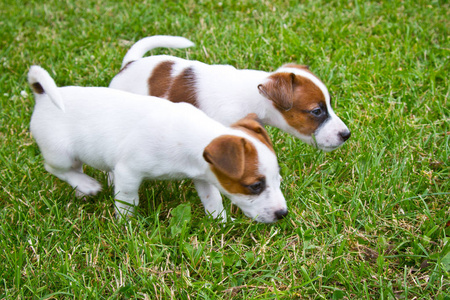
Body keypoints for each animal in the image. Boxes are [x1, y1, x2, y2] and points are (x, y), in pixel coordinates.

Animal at [29, 65, 288, 223]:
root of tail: (42, 96)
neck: (189, 137)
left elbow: (212, 199)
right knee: (55, 168)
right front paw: (127, 226)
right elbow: (127, 202)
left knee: (75, 168)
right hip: (59, 152)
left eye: (278, 178)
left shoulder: (203, 177)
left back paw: (82, 190)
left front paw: (221, 221)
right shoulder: (128, 172)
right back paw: (87, 184)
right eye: (255, 186)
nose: (283, 213)